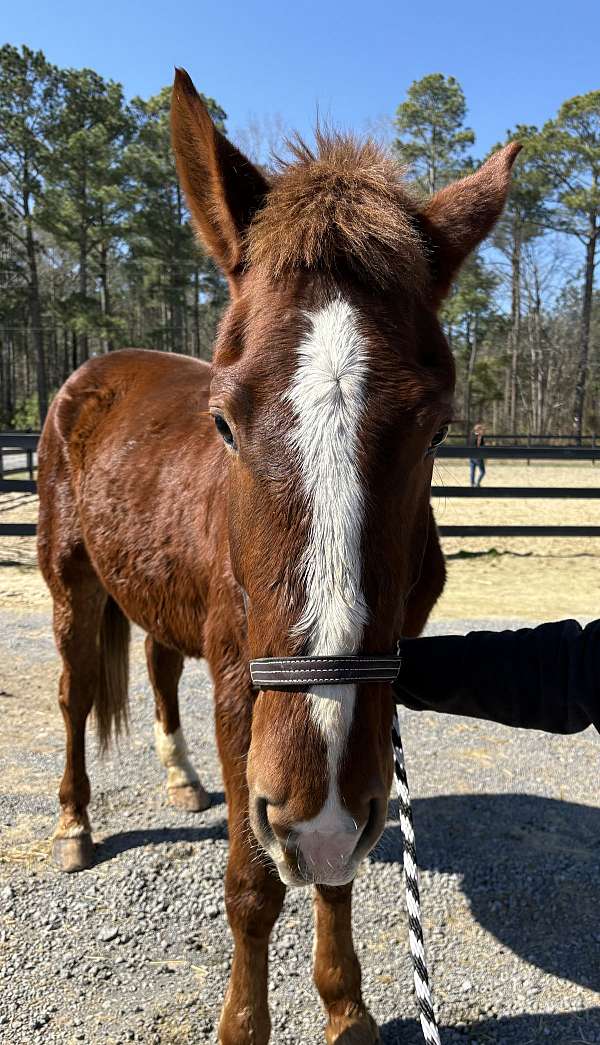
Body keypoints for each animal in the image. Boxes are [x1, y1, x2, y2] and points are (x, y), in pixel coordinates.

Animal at [35, 69, 520, 1040]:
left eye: (436, 427)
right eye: (224, 421)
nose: (319, 813)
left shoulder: (368, 711)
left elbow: (336, 870)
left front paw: (347, 1008)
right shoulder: (244, 694)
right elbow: (256, 882)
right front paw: (244, 1023)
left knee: (156, 667)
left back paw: (181, 777)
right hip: (70, 582)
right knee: (75, 695)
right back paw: (74, 824)